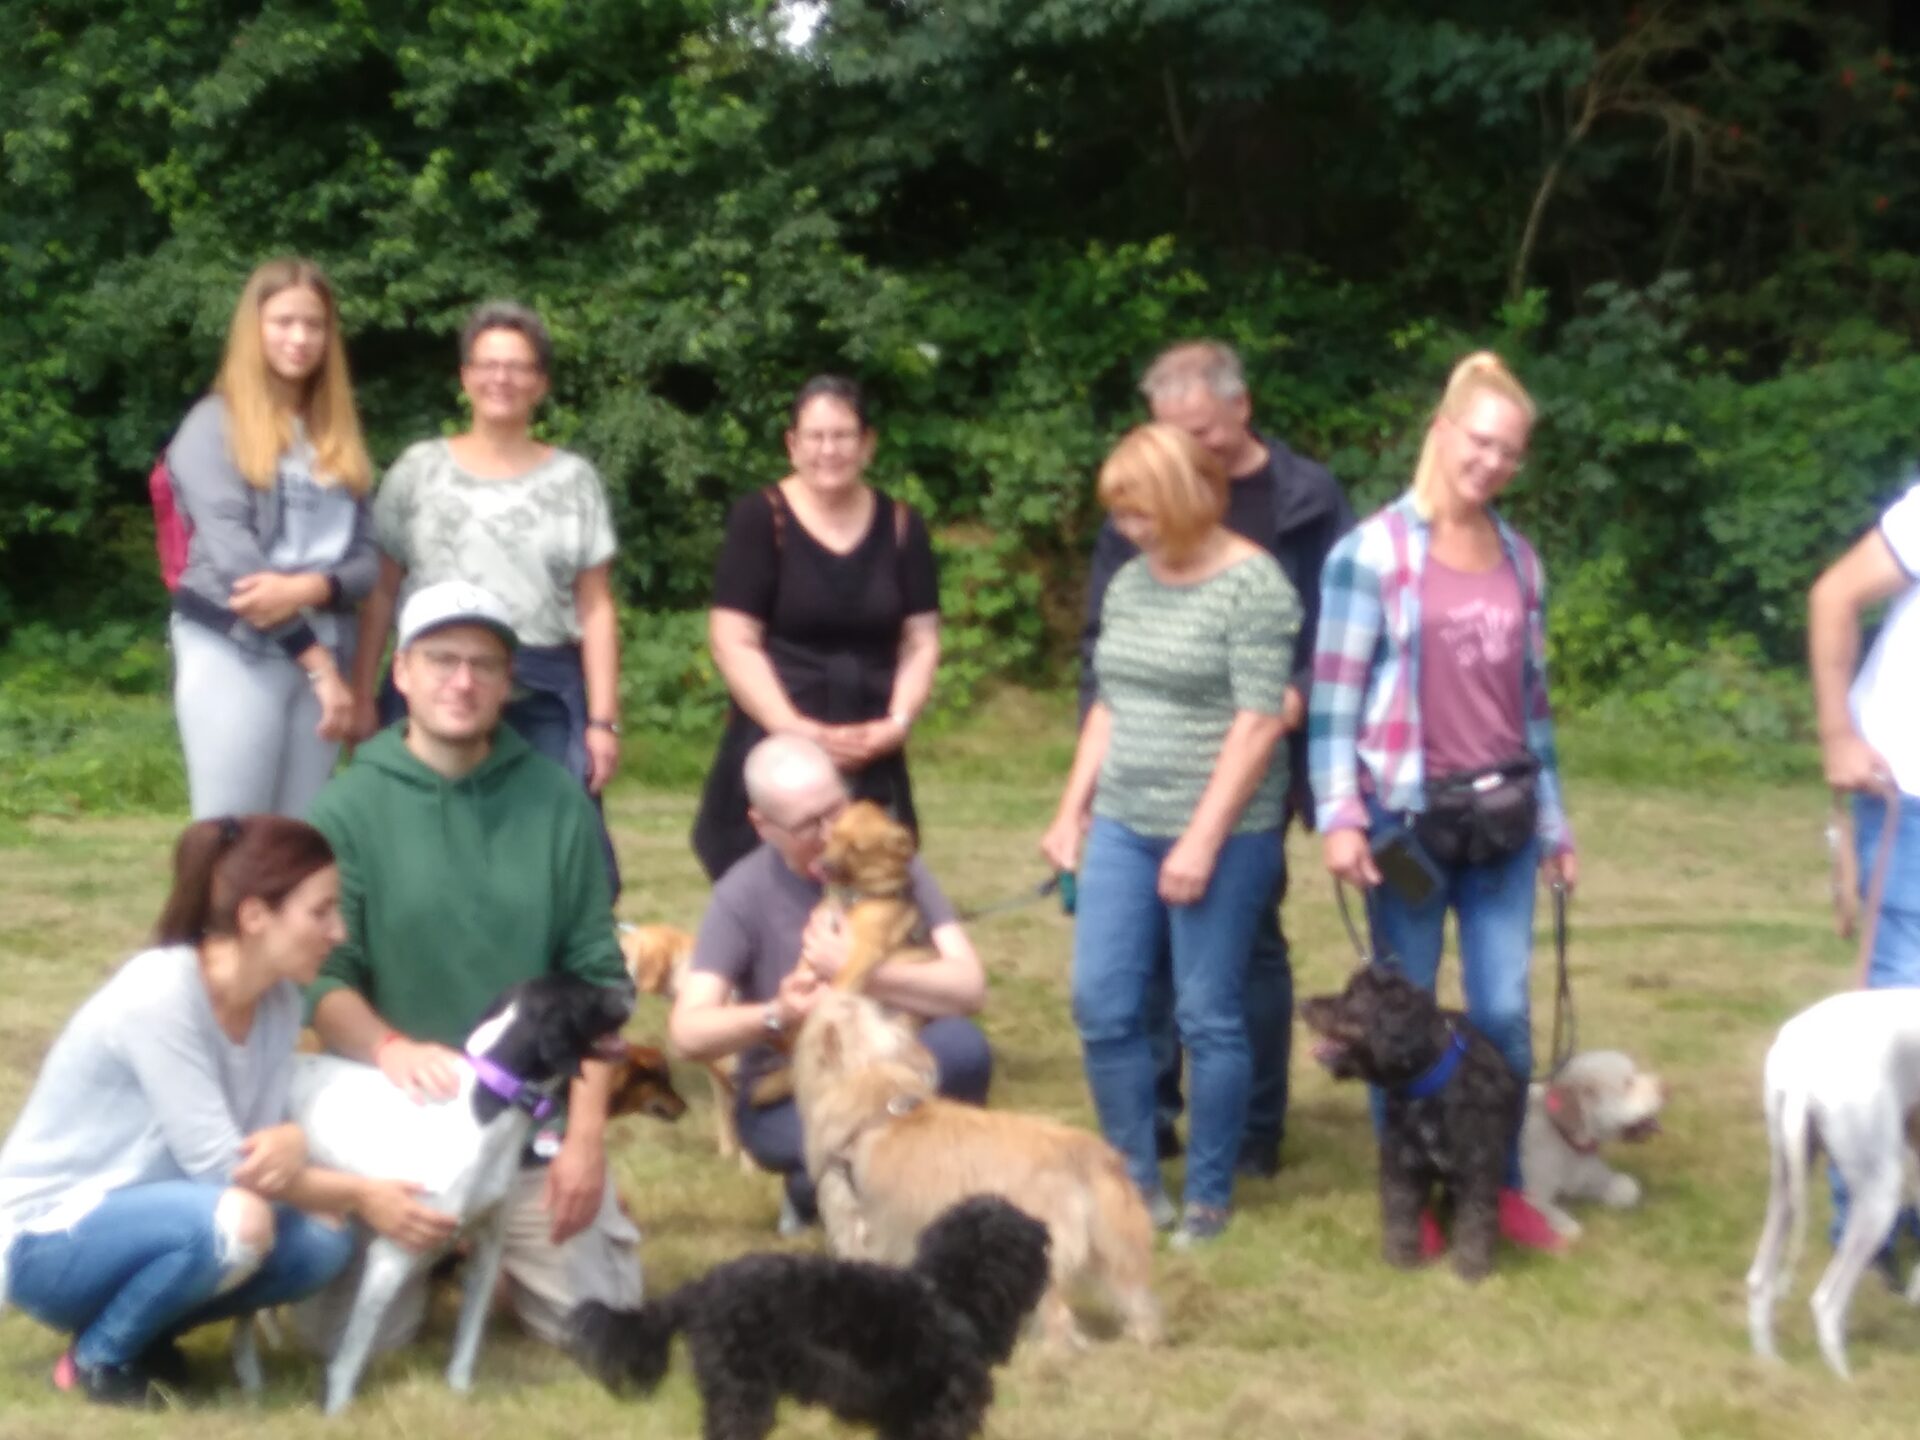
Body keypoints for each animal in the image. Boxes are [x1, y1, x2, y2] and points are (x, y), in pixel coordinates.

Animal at [247, 974, 632, 1413]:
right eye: (587, 993)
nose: (630, 986)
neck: (483, 1106)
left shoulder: (486, 1249)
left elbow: (467, 1341)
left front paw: (460, 1391)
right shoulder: (391, 1255)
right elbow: (352, 1353)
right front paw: (337, 1410)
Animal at [792, 989, 1160, 1350]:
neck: (873, 1079)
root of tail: (1087, 1153)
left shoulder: (857, 1223)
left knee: (1058, 1314)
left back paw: (1049, 1353)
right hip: (1111, 1249)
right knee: (1137, 1301)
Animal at [1301, 964, 1524, 1282]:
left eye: (1355, 996)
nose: (1303, 1005)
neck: (1427, 1087)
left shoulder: (1477, 1170)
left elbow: (1476, 1218)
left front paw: (1471, 1268)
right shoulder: (1401, 1164)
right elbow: (1401, 1212)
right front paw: (1401, 1259)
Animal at [1519, 1049, 1665, 1238]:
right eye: (1627, 1083)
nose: (1667, 1088)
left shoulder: (1593, 1179)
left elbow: (1628, 1189)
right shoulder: (1532, 1195)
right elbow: (1565, 1223)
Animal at [1748, 988, 1920, 1378]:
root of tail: (1802, 1070)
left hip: (1787, 1178)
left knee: (1759, 1281)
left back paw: (1770, 1367)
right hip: (1879, 1196)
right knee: (1826, 1303)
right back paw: (1847, 1381)